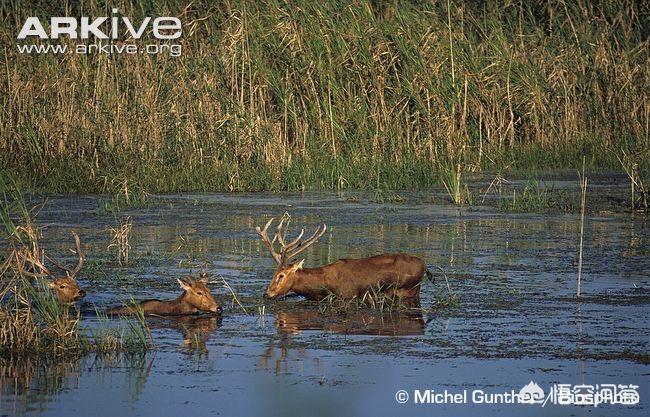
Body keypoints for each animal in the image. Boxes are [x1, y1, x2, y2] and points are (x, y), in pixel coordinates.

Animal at [253, 214, 430, 300]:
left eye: (281, 275)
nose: (267, 293)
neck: (322, 287)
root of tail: (424, 266)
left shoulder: (348, 295)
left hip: (409, 290)